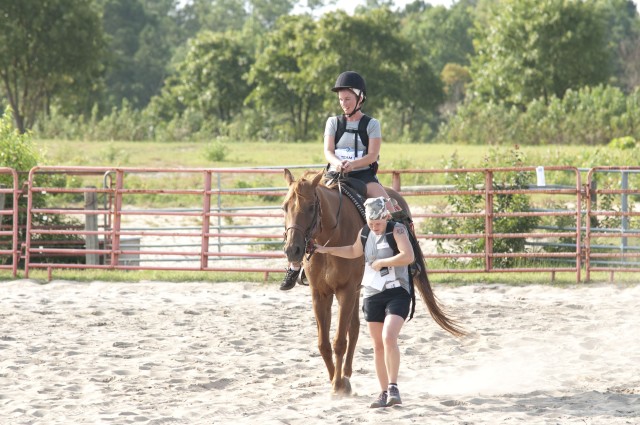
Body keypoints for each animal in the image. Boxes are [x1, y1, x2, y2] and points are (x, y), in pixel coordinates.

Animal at [282, 168, 462, 394]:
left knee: (355, 330)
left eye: (311, 207)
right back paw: (346, 374)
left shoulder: (346, 290)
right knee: (354, 328)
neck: (332, 238)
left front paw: (338, 385)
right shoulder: (320, 294)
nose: (292, 250)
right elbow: (323, 343)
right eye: (284, 207)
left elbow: (339, 341)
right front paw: (335, 379)